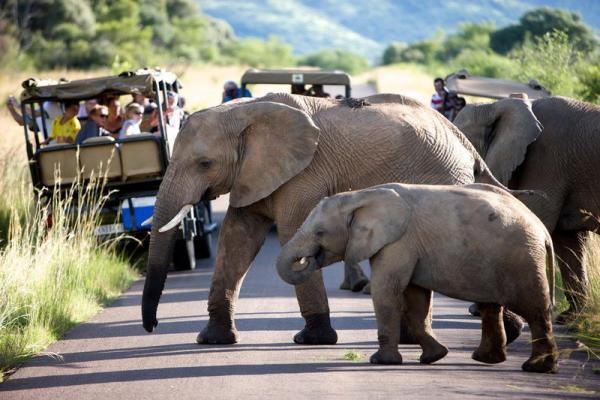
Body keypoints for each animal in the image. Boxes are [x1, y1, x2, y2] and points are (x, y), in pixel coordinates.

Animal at [142, 92, 524, 346]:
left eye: (204, 164)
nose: (153, 327)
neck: (244, 111)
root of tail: (464, 141)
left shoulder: (303, 175)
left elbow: (290, 232)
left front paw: (313, 339)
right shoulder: (249, 175)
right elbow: (237, 240)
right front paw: (212, 340)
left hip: (441, 178)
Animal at [276, 183, 556, 374]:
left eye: (320, 233)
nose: (308, 258)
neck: (361, 196)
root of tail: (543, 229)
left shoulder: (399, 242)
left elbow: (386, 290)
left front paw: (381, 362)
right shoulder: (408, 246)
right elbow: (416, 297)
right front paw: (434, 357)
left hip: (522, 258)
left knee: (535, 310)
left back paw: (537, 367)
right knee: (491, 307)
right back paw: (487, 359)